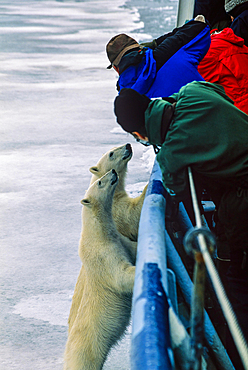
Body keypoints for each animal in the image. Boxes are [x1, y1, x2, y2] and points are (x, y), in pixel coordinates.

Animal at [63, 170, 135, 370]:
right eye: (100, 182)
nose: (113, 172)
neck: (97, 234)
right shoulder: (103, 255)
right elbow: (120, 276)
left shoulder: (120, 239)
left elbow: (132, 247)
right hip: (85, 349)